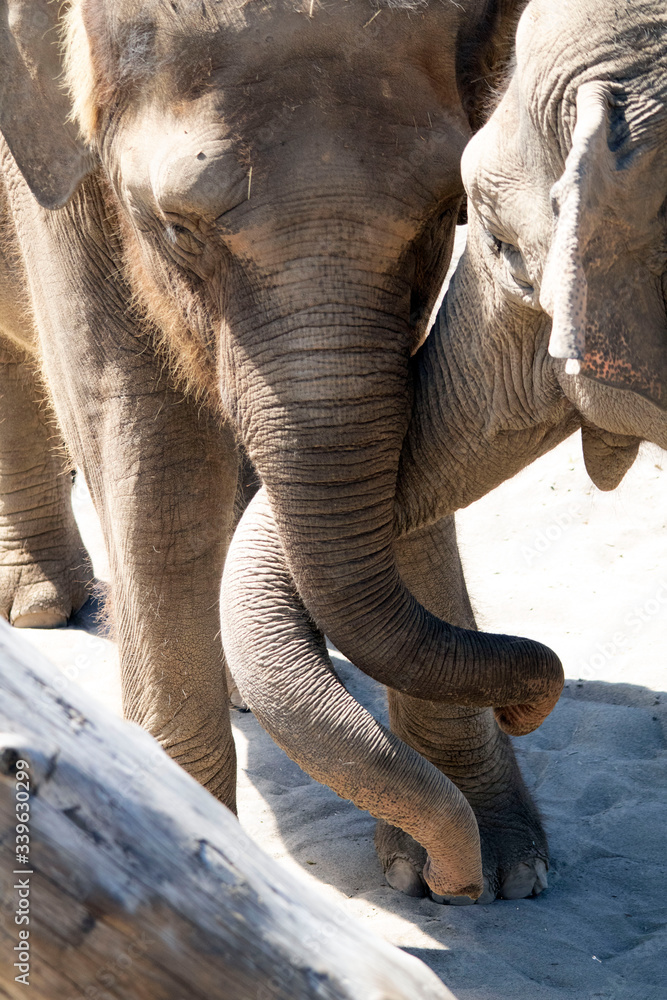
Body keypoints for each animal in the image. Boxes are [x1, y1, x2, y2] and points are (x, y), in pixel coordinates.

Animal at [0, 0, 565, 894]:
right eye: (177, 228)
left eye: (446, 211)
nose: (528, 705)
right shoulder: (56, 176)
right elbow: (153, 456)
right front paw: (200, 876)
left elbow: (423, 441)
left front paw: (506, 869)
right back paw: (42, 608)